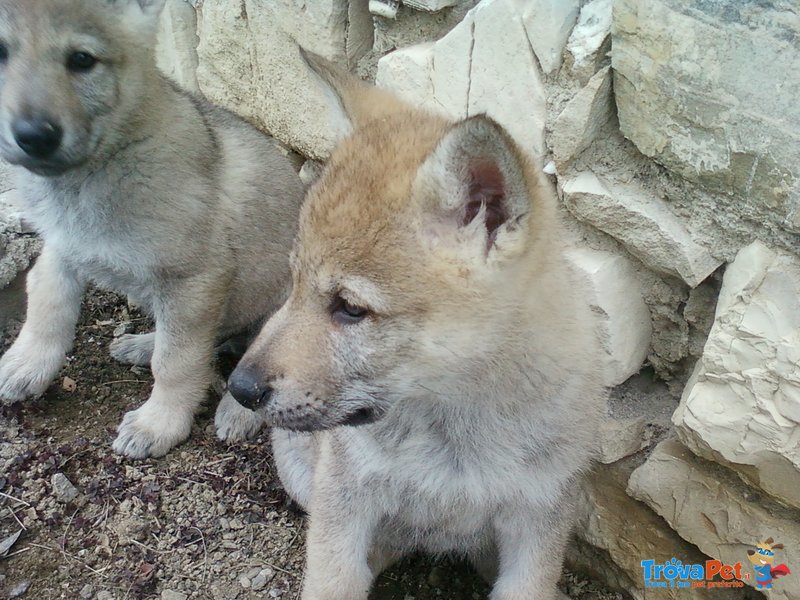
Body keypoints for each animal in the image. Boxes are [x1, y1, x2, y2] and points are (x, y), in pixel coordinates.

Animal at [0, 1, 304, 460]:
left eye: (82, 60)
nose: (34, 136)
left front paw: (158, 423)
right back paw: (141, 344)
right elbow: (47, 307)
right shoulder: (61, 249)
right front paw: (27, 363)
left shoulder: (194, 280)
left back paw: (238, 411)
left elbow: (177, 362)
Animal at [228, 54, 604, 596]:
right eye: (294, 281)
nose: (239, 387)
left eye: (350, 308)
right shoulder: (345, 503)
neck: (453, 428)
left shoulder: (537, 522)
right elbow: (334, 577)